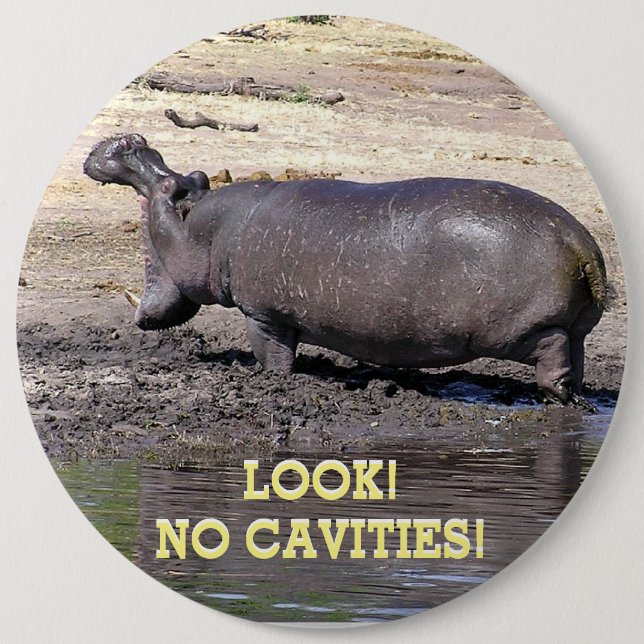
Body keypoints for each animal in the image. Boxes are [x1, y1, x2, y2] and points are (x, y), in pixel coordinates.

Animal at [84, 133, 612, 404]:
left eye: (172, 187)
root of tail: (579, 240)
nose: (129, 142)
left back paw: (553, 397)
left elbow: (274, 357)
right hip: (577, 326)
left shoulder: (263, 315)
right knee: (577, 356)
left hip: (523, 330)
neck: (208, 229)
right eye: (195, 177)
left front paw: (273, 382)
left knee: (552, 357)